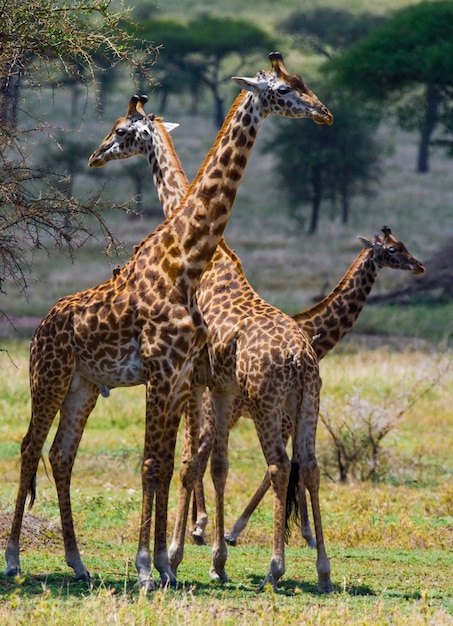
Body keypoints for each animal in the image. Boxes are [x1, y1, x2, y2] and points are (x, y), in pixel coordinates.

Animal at [4, 52, 332, 588]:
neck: (188, 261)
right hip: (50, 376)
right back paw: (15, 558)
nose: (324, 113)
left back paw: (78, 562)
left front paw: (164, 563)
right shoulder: (168, 375)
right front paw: (150, 565)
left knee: (61, 454)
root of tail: (43, 324)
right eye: (284, 89)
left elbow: (171, 463)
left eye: (298, 85)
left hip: (85, 386)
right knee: (32, 446)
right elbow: (159, 464)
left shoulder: (180, 378)